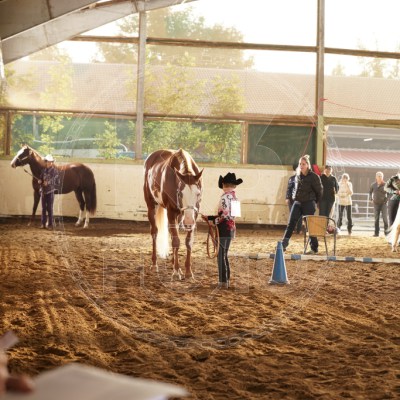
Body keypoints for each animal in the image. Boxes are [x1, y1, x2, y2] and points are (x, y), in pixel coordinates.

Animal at [143, 149, 203, 280]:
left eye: (198, 194)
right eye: (180, 194)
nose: (188, 222)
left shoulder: (194, 214)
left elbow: (188, 241)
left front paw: (188, 271)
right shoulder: (171, 211)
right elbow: (176, 241)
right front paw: (176, 271)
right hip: (151, 206)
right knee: (154, 232)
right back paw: (154, 264)